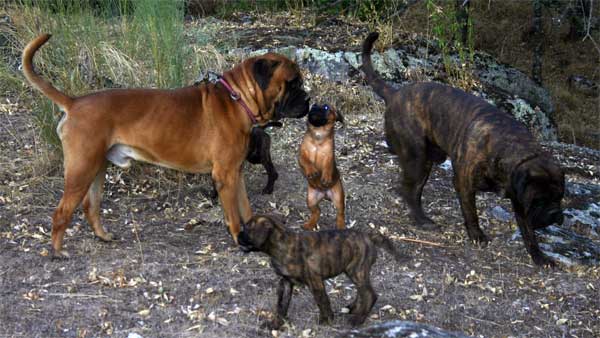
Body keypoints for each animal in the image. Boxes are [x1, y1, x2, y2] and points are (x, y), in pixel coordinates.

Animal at [21, 33, 310, 256]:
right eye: (292, 83)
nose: (308, 99)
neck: (238, 99)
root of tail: (74, 103)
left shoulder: (235, 173)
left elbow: (246, 208)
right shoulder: (226, 175)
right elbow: (234, 216)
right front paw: (241, 239)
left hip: (96, 169)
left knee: (90, 207)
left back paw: (103, 236)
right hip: (81, 170)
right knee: (61, 212)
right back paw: (58, 251)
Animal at [238, 215, 408, 328]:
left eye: (246, 228)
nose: (237, 235)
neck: (280, 244)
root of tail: (368, 235)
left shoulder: (315, 280)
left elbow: (322, 301)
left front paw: (327, 320)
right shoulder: (285, 282)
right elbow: (281, 305)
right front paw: (276, 324)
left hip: (356, 271)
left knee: (370, 294)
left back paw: (358, 320)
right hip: (354, 272)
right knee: (363, 292)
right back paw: (353, 308)